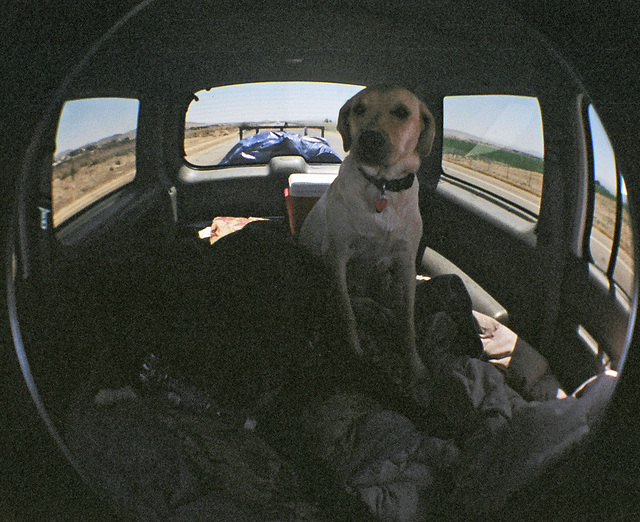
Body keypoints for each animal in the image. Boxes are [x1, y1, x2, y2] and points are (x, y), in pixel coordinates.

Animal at [298, 84, 436, 378]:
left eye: (402, 112)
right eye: (359, 108)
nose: (369, 139)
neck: (382, 185)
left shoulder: (406, 264)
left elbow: (408, 321)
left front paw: (415, 363)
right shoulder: (338, 256)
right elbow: (347, 312)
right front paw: (355, 352)